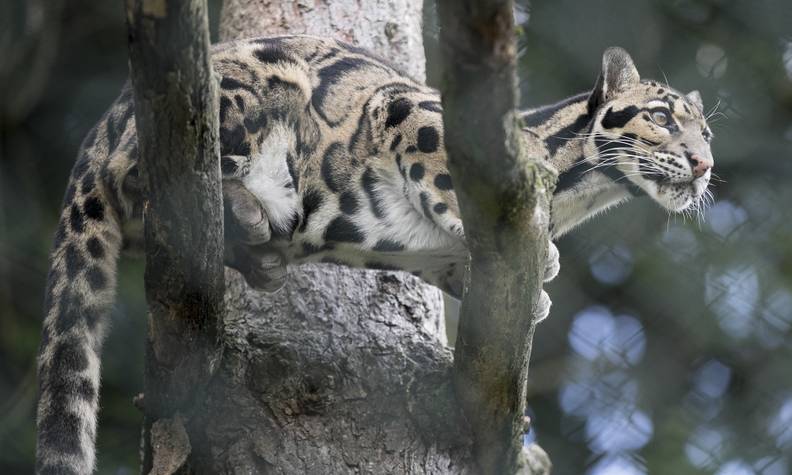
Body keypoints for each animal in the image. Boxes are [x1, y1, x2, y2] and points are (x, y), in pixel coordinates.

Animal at [35, 35, 712, 474]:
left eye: (706, 132)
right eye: (659, 116)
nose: (705, 164)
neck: (579, 196)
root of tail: (92, 144)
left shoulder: (434, 253)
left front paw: (536, 289)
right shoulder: (403, 107)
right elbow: (440, 168)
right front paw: (538, 257)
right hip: (240, 94)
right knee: (156, 185)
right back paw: (247, 211)